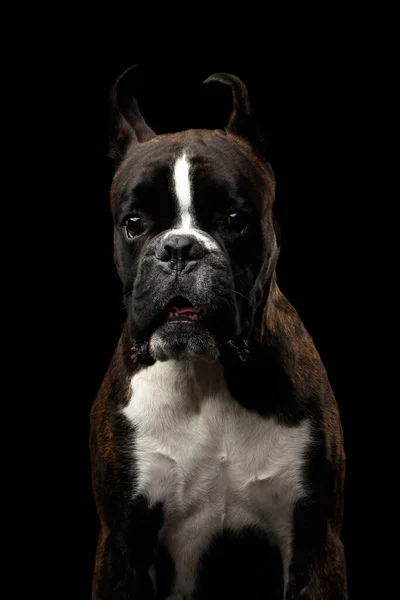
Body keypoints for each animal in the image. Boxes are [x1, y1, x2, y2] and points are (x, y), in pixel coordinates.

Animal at [90, 68, 346, 596]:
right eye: (133, 223)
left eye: (235, 219)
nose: (179, 249)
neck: (206, 375)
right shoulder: (122, 545)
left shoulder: (315, 541)